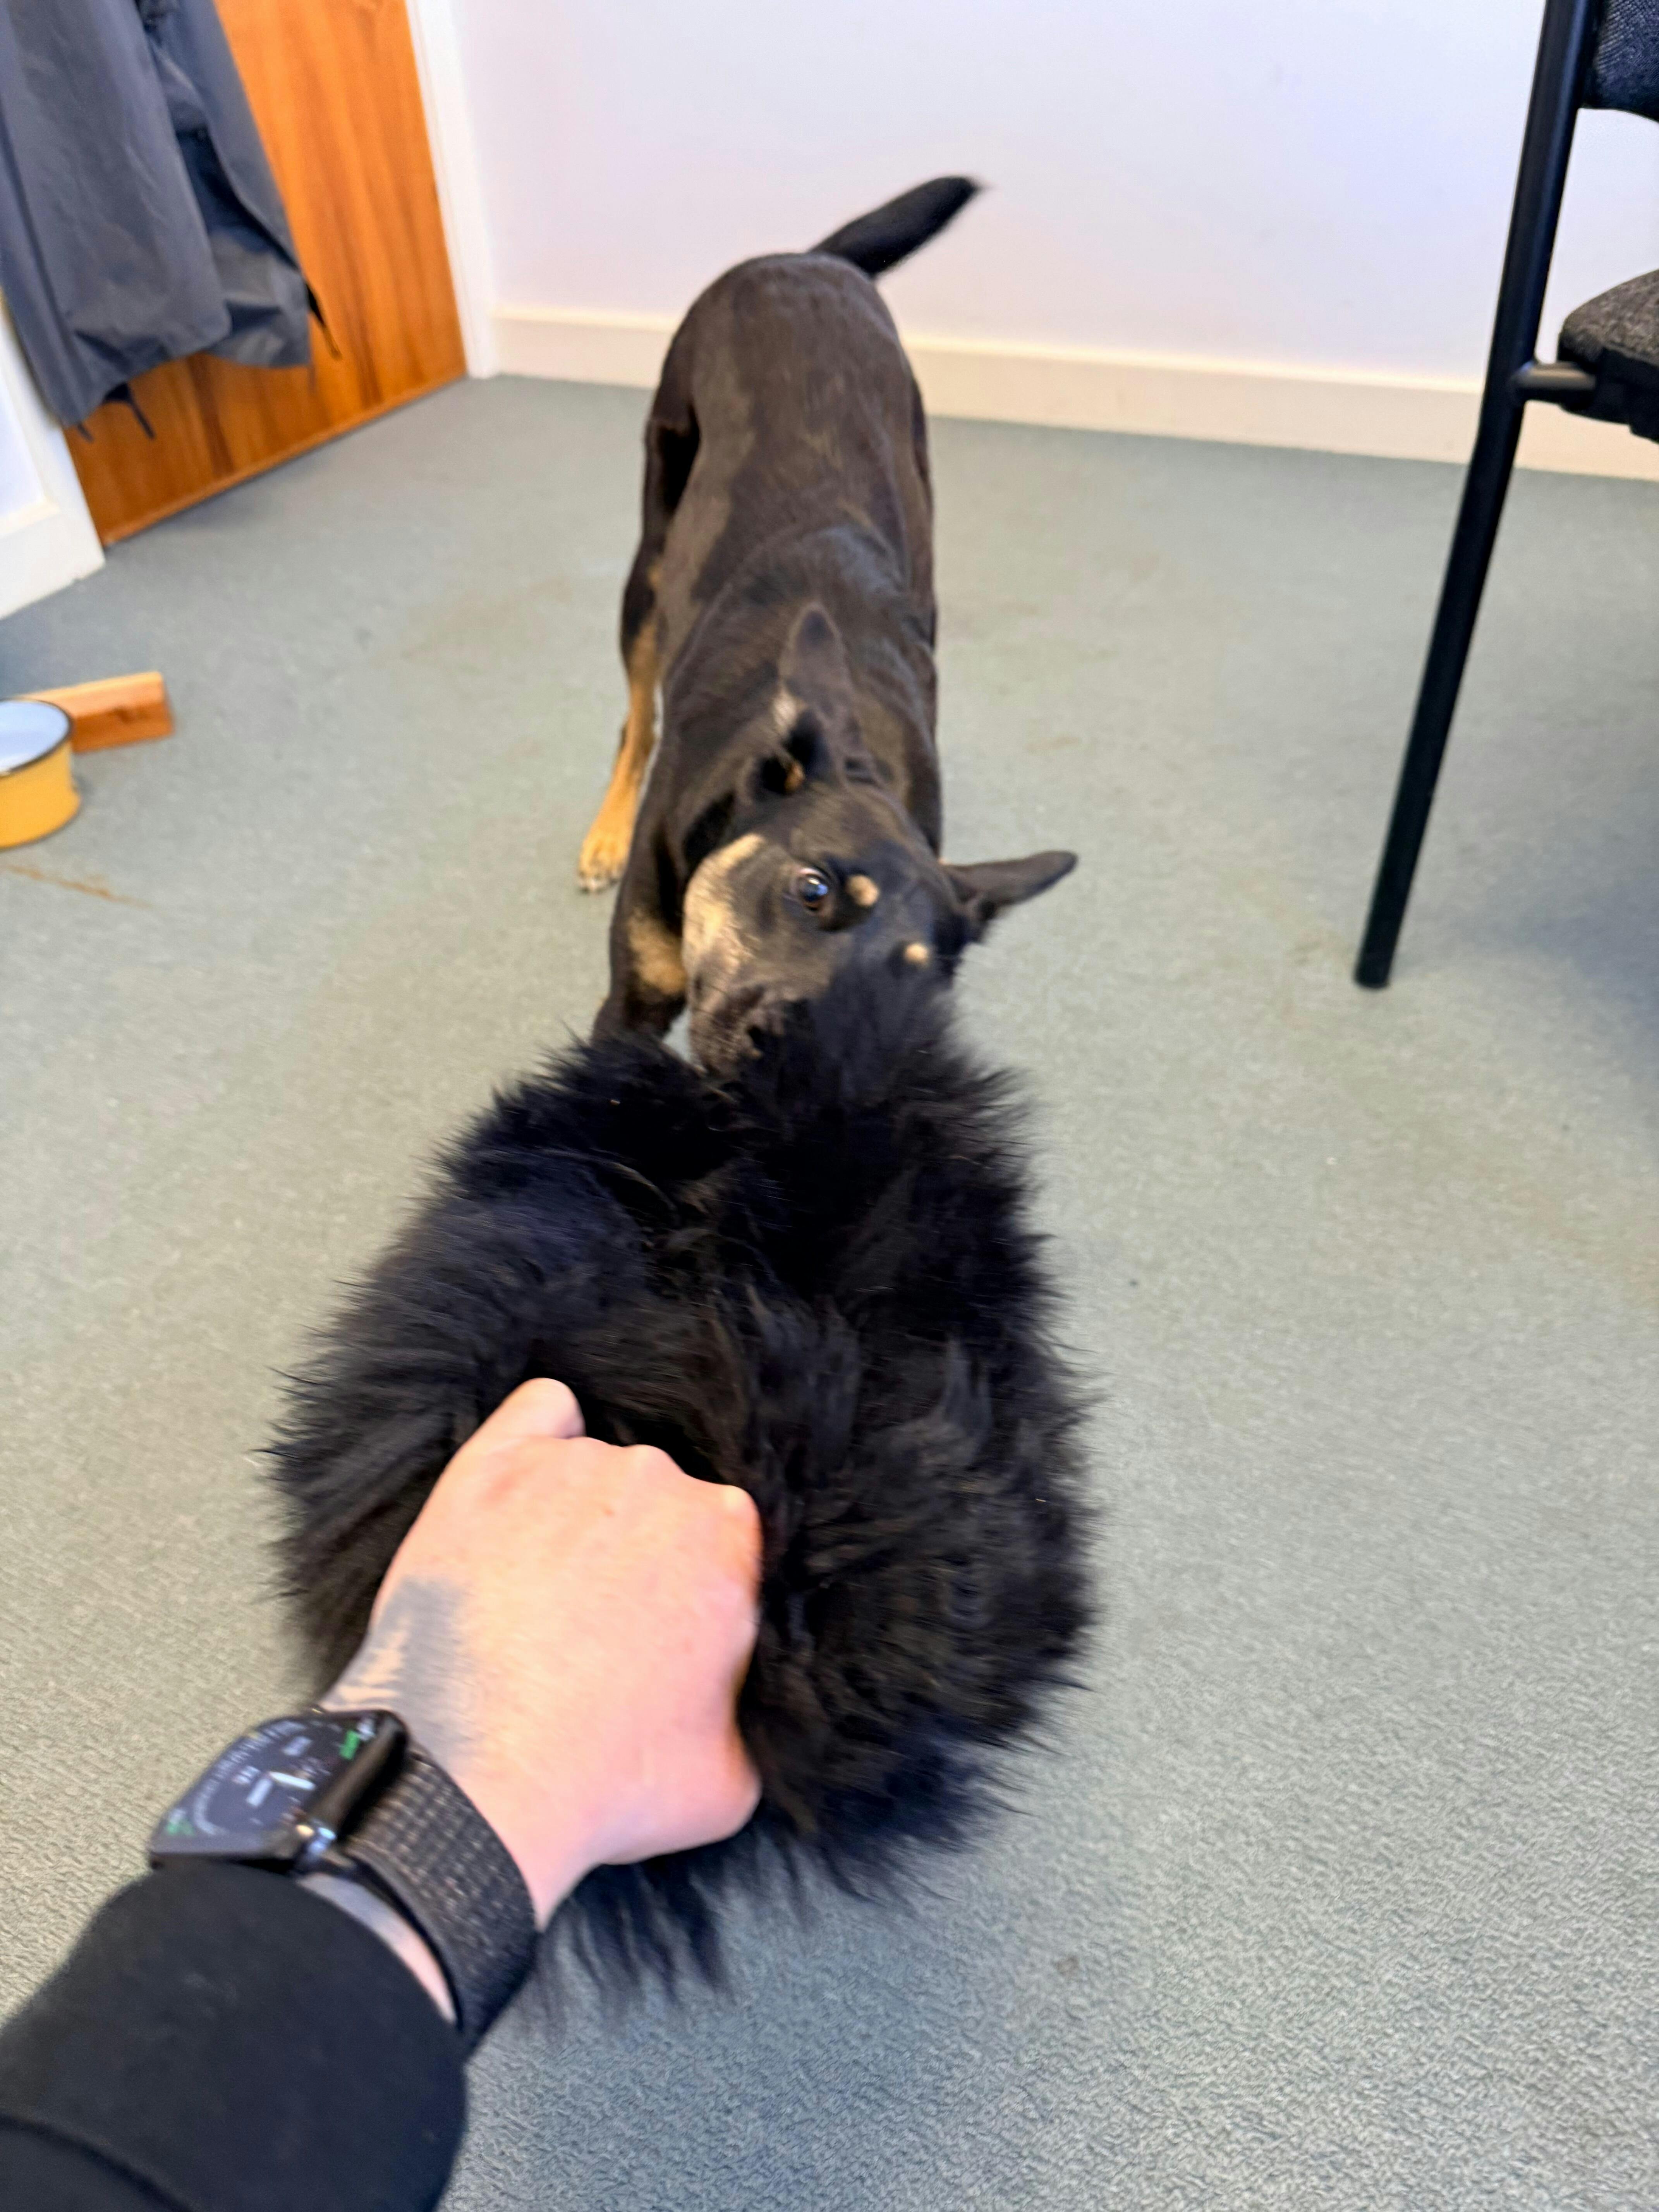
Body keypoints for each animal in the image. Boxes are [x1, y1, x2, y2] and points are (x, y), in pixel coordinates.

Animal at [579, 177, 1077, 1068]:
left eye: (904, 982)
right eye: (811, 889)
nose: (801, 1061)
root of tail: (808, 259)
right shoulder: (630, 1004)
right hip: (652, 557)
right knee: (636, 717)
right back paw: (605, 833)